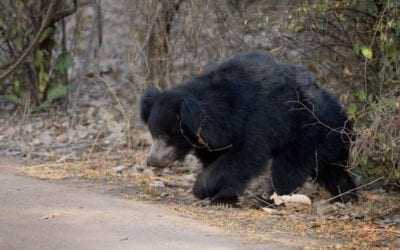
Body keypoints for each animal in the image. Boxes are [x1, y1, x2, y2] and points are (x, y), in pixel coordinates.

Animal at [140, 51, 356, 204]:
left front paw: (204, 189)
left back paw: (269, 199)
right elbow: (217, 158)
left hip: (307, 134)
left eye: (168, 134)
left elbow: (244, 157)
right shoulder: (213, 139)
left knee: (288, 168)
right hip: (327, 143)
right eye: (153, 132)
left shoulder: (259, 120)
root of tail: (343, 116)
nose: (152, 161)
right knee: (331, 170)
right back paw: (347, 195)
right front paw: (222, 196)